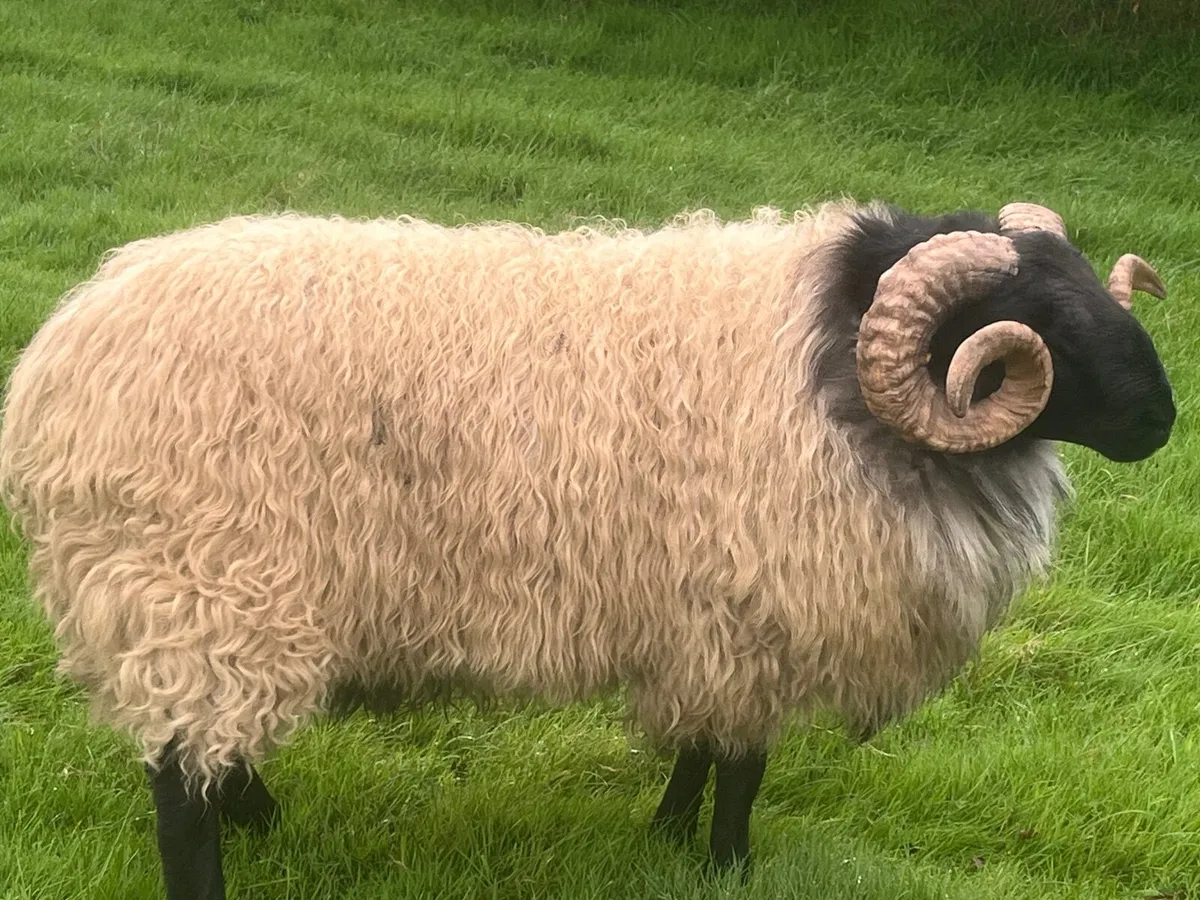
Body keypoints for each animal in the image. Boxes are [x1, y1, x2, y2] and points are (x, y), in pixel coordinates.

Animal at [0, 198, 1176, 899]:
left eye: (1088, 285)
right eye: (1034, 323)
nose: (1163, 421)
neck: (831, 360)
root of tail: (59, 364)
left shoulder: (708, 623)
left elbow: (701, 746)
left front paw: (665, 837)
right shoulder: (759, 616)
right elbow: (743, 765)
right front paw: (728, 864)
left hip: (191, 601)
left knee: (205, 753)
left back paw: (270, 820)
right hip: (204, 587)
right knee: (178, 789)